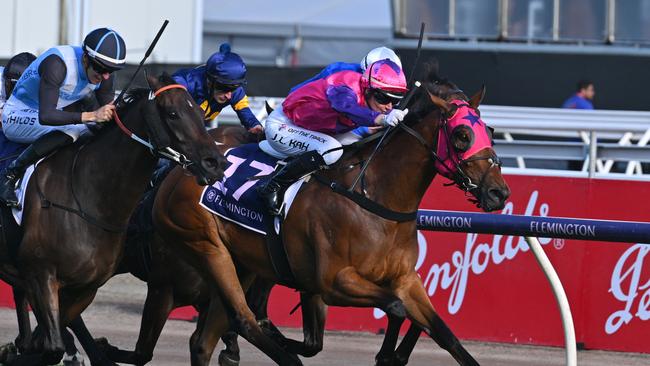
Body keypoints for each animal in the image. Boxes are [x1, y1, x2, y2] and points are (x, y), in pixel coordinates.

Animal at [0, 75, 225, 366]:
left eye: (200, 112)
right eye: (173, 114)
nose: (215, 163)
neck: (86, 196)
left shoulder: (84, 288)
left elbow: (50, 341)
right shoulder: (41, 274)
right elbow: (52, 347)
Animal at [149, 70, 508, 364]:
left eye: (489, 130)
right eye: (462, 135)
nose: (498, 192)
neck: (374, 198)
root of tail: (180, 169)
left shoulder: (406, 279)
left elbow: (444, 335)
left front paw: (393, 354)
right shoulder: (335, 282)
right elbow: (395, 307)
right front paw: (386, 356)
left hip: (245, 262)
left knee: (206, 339)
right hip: (208, 247)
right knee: (244, 317)